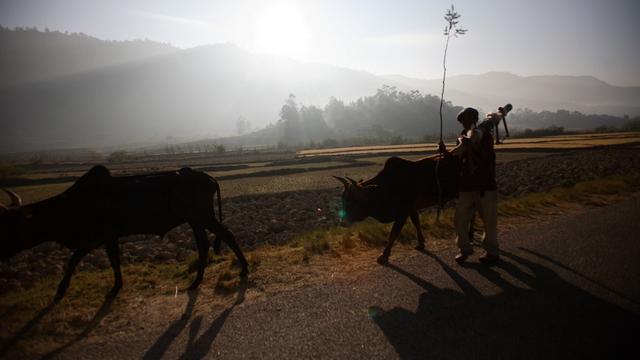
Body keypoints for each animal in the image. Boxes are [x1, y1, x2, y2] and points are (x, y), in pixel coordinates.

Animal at [0, 166, 248, 300]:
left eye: (12, 225)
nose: (3, 252)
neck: (72, 205)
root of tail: (207, 176)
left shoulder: (99, 237)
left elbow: (78, 260)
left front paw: (63, 290)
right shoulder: (107, 238)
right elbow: (109, 259)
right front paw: (116, 286)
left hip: (203, 216)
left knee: (227, 234)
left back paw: (244, 269)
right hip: (196, 220)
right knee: (204, 245)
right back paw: (196, 281)